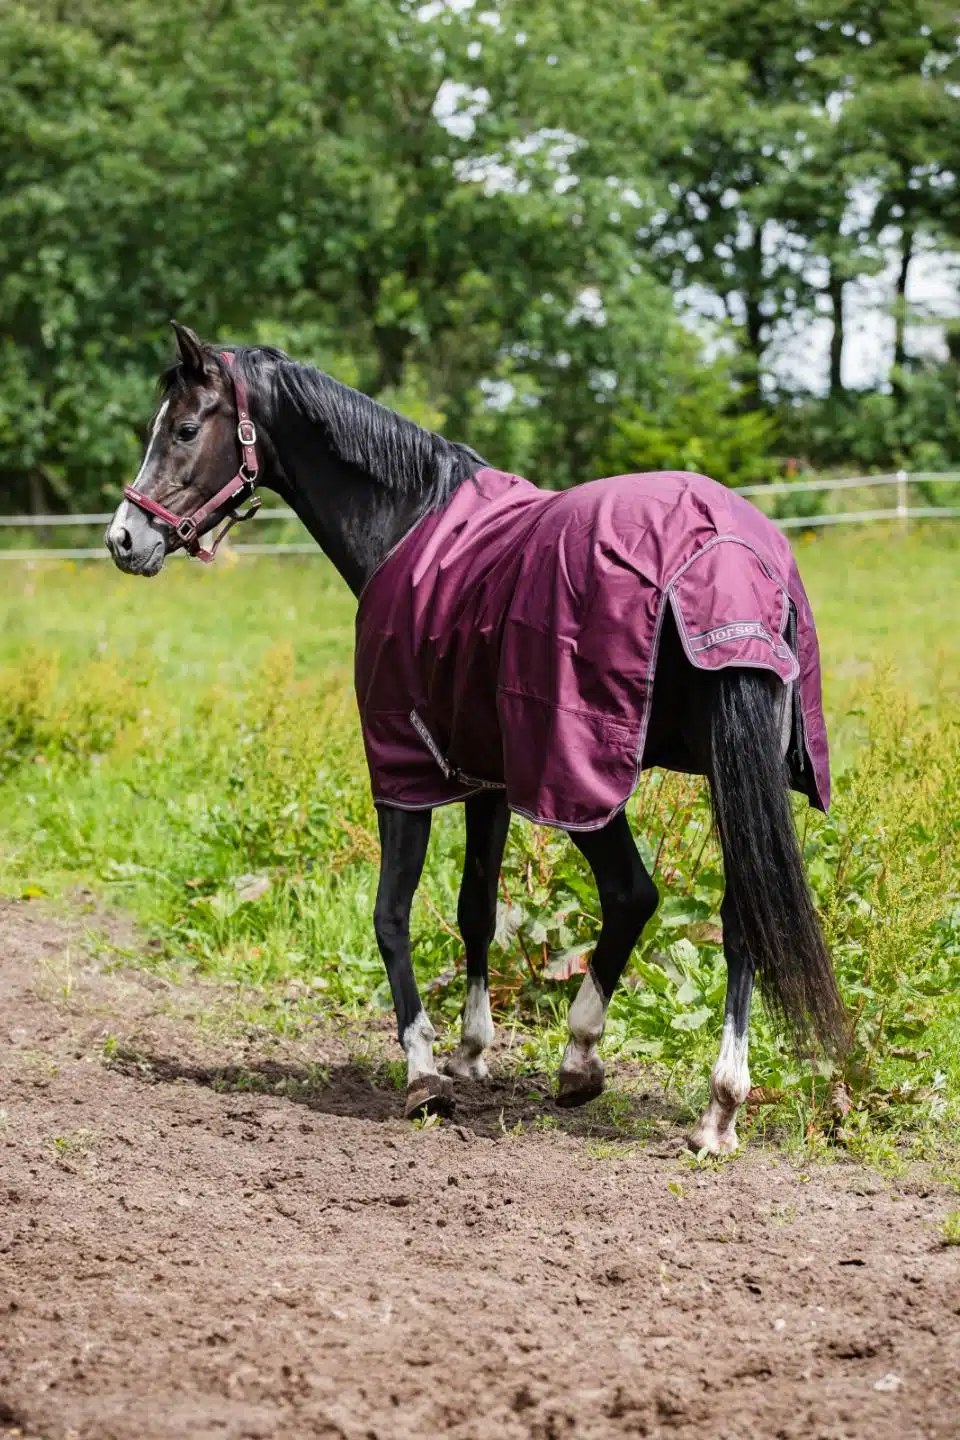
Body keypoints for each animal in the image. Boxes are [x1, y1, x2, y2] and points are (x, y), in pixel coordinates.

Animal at [105, 322, 847, 1154]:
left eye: (183, 429)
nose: (123, 539)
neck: (408, 521)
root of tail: (727, 557)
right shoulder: (484, 776)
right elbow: (476, 910)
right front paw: (470, 1051)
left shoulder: (404, 771)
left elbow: (390, 915)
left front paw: (424, 1071)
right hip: (727, 776)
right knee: (735, 914)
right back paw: (714, 1104)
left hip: (582, 779)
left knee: (632, 892)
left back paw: (593, 1060)